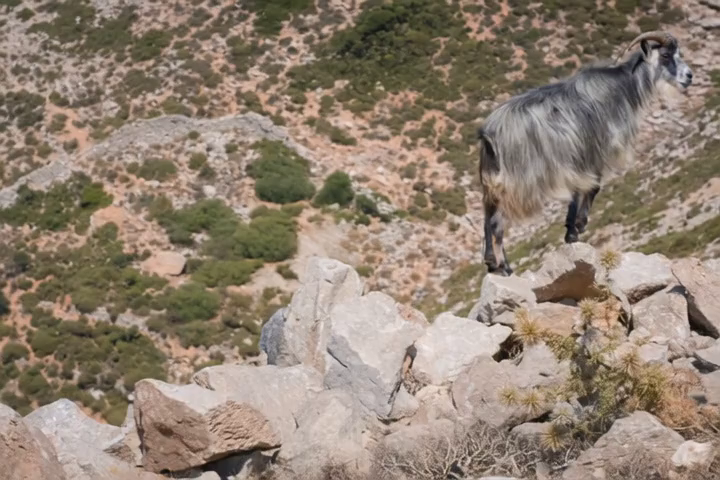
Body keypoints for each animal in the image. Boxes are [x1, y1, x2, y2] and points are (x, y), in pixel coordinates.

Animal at [476, 31, 693, 276]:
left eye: (679, 53)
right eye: (665, 55)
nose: (689, 76)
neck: (622, 87)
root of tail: (489, 134)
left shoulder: (578, 160)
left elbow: (576, 192)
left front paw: (570, 232)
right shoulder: (594, 152)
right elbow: (593, 187)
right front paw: (578, 227)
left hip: (492, 183)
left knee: (487, 215)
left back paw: (491, 262)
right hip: (518, 183)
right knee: (498, 221)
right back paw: (504, 266)